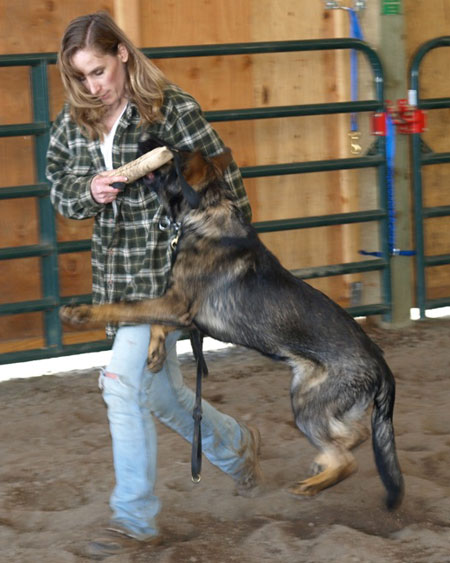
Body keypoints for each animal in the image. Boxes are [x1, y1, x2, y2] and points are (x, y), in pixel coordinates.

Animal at [60, 139, 404, 508]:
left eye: (174, 153)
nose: (146, 138)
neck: (206, 214)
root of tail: (382, 366)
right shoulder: (184, 313)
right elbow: (155, 323)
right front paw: (154, 354)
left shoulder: (176, 304)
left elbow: (125, 306)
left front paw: (81, 313)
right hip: (318, 400)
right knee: (355, 435)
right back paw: (320, 464)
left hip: (307, 402)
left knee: (348, 459)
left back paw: (312, 484)